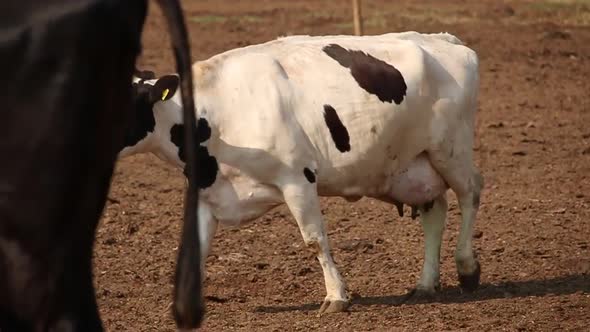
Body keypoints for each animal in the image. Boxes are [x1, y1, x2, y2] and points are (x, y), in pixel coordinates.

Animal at [121, 31, 486, 314]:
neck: (219, 114)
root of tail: (447, 40)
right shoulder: (206, 191)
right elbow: (196, 248)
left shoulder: (297, 180)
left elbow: (315, 240)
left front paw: (336, 296)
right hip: (414, 166)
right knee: (435, 210)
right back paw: (426, 283)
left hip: (451, 150)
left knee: (471, 192)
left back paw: (467, 267)